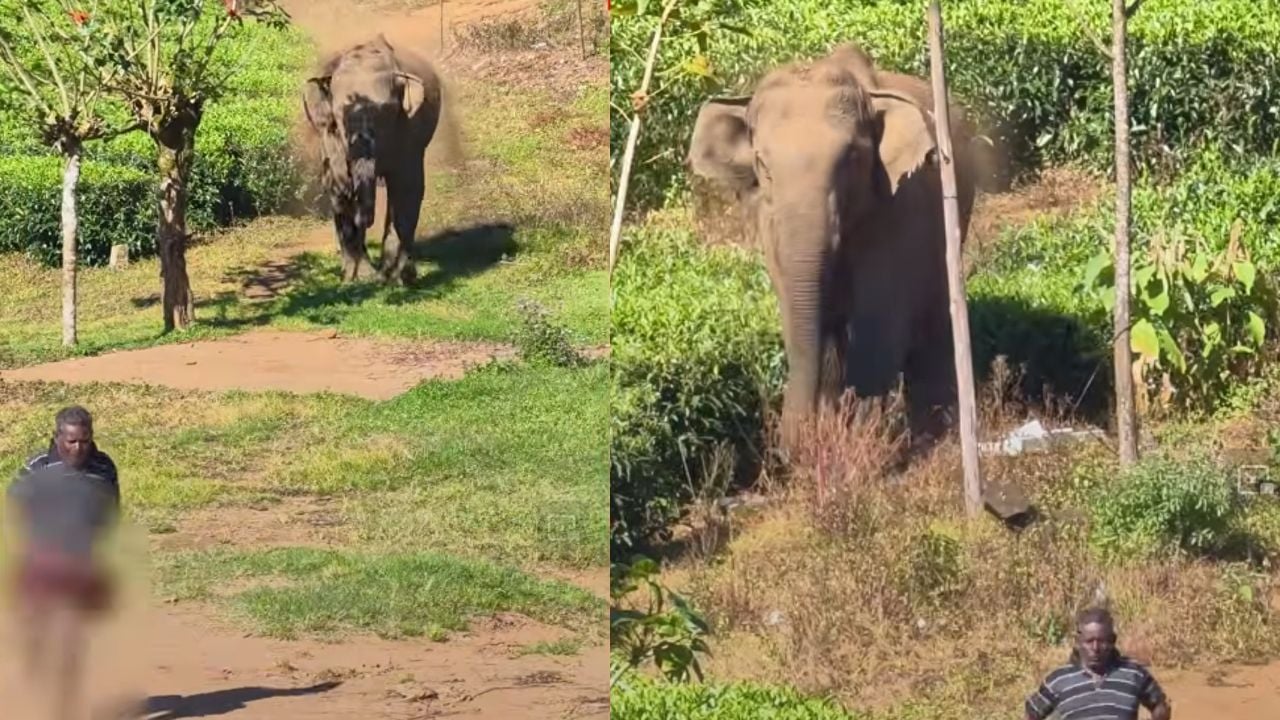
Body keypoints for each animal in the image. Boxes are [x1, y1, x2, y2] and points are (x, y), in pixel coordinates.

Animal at [302, 34, 442, 284]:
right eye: (339, 118)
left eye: (385, 113)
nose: (365, 221)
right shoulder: (328, 135)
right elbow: (336, 186)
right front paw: (357, 279)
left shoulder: (410, 128)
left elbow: (407, 187)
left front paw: (398, 279)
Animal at [686, 43, 995, 452]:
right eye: (762, 163)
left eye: (851, 158)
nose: (785, 446)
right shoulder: (770, 223)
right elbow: (799, 310)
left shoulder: (901, 204)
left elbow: (879, 315)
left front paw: (863, 442)